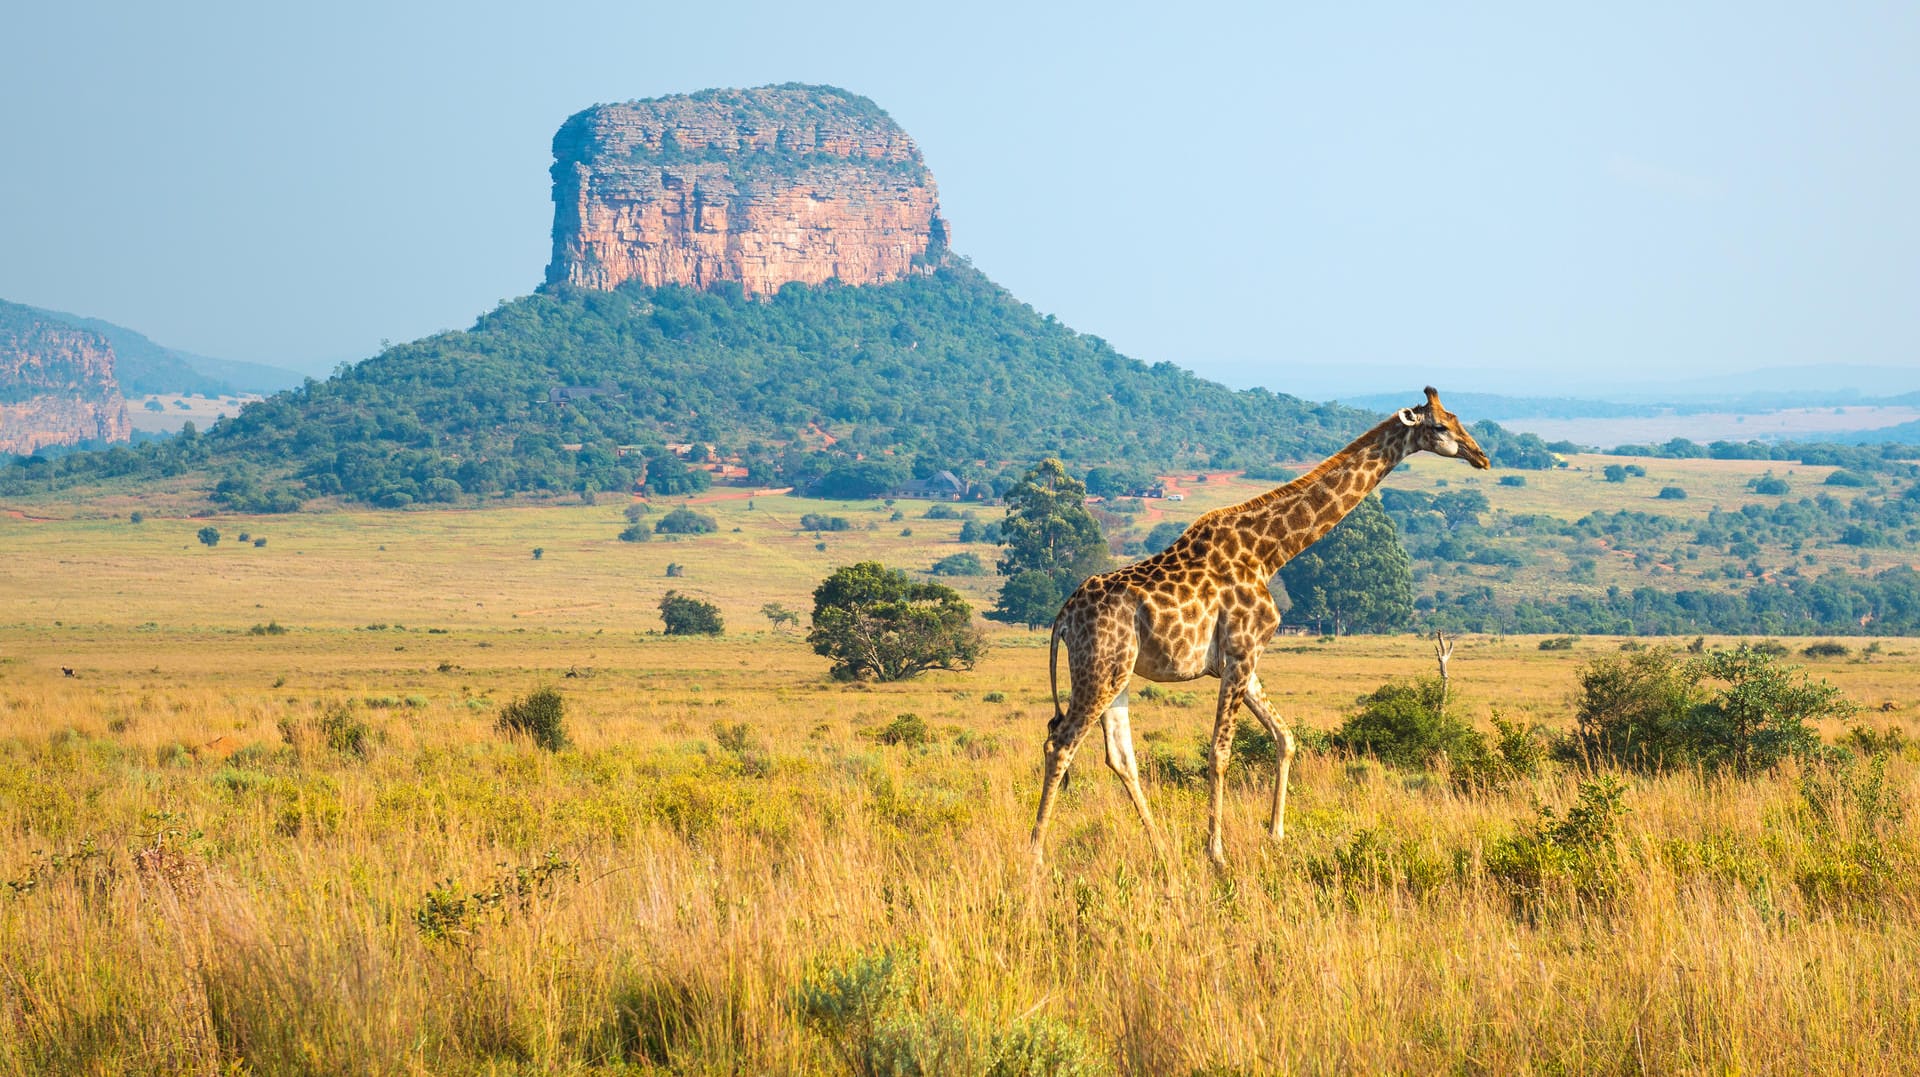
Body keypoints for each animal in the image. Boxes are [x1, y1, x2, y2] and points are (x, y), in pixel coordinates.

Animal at [1029, 385, 1489, 863]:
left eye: (1457, 419)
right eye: (1440, 426)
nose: (1481, 456)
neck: (1269, 553)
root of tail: (1063, 617)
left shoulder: (1242, 660)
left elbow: (1285, 737)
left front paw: (1276, 834)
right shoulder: (1241, 653)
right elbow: (1220, 752)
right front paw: (1216, 851)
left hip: (1118, 673)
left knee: (1119, 757)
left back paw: (1162, 849)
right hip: (1100, 668)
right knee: (1060, 743)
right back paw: (1036, 853)